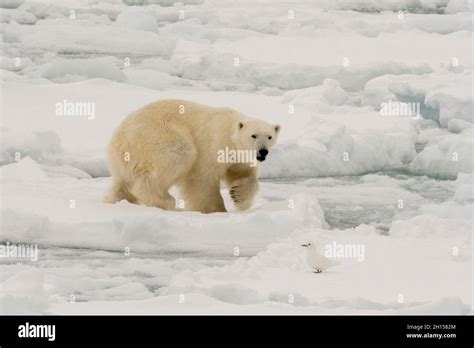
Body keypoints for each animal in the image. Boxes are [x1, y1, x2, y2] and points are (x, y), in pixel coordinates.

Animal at [103, 99, 280, 213]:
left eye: (269, 136)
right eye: (254, 135)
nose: (263, 151)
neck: (230, 135)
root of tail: (120, 136)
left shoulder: (239, 156)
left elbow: (243, 174)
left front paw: (238, 197)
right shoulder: (213, 145)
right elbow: (202, 180)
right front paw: (216, 210)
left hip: (125, 158)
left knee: (122, 183)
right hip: (156, 135)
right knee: (180, 153)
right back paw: (165, 201)